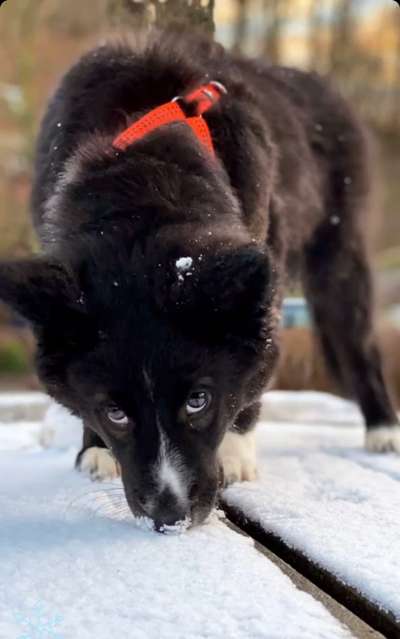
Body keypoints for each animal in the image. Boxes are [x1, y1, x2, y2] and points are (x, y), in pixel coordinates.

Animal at [1, 30, 398, 528]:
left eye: (198, 400)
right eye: (115, 413)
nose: (171, 516)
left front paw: (235, 452)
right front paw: (96, 449)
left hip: (339, 260)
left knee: (360, 346)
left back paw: (383, 429)